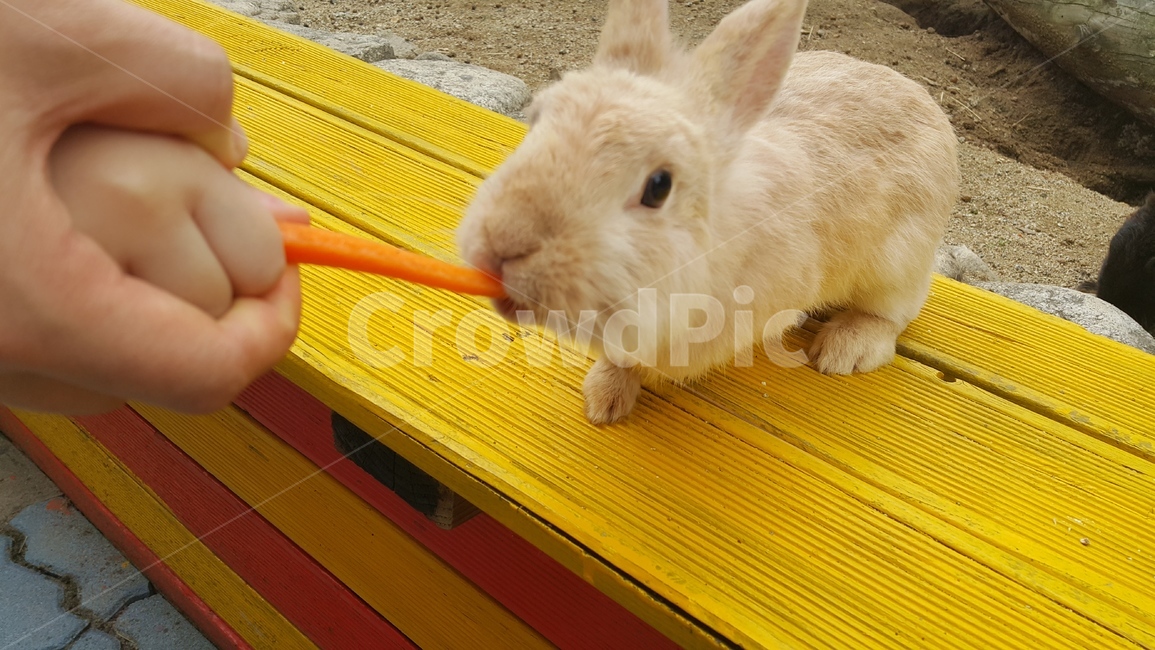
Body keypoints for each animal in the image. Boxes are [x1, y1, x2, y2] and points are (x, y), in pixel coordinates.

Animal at [455, 0, 960, 424]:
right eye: (535, 120)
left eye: (659, 187)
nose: (500, 246)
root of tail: (928, 105)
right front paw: (604, 399)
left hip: (897, 267)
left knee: (891, 317)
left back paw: (842, 350)